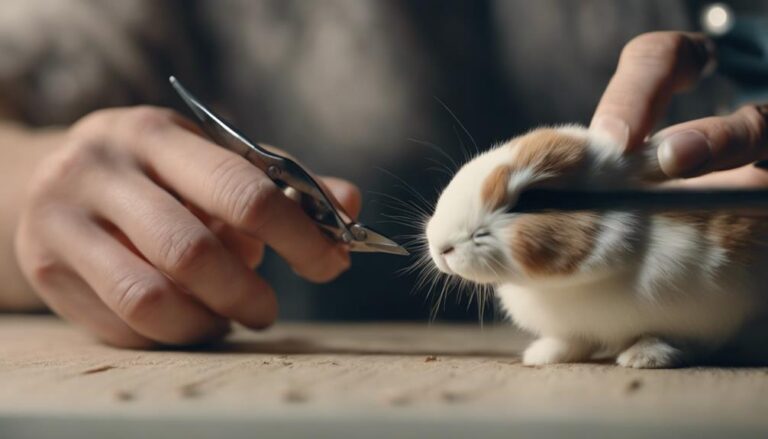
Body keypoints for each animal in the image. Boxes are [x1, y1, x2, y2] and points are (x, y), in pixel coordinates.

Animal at [425, 125, 768, 368]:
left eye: (534, 199)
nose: (440, 247)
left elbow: (670, 337)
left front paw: (645, 358)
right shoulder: (573, 326)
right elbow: (572, 341)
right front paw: (542, 355)